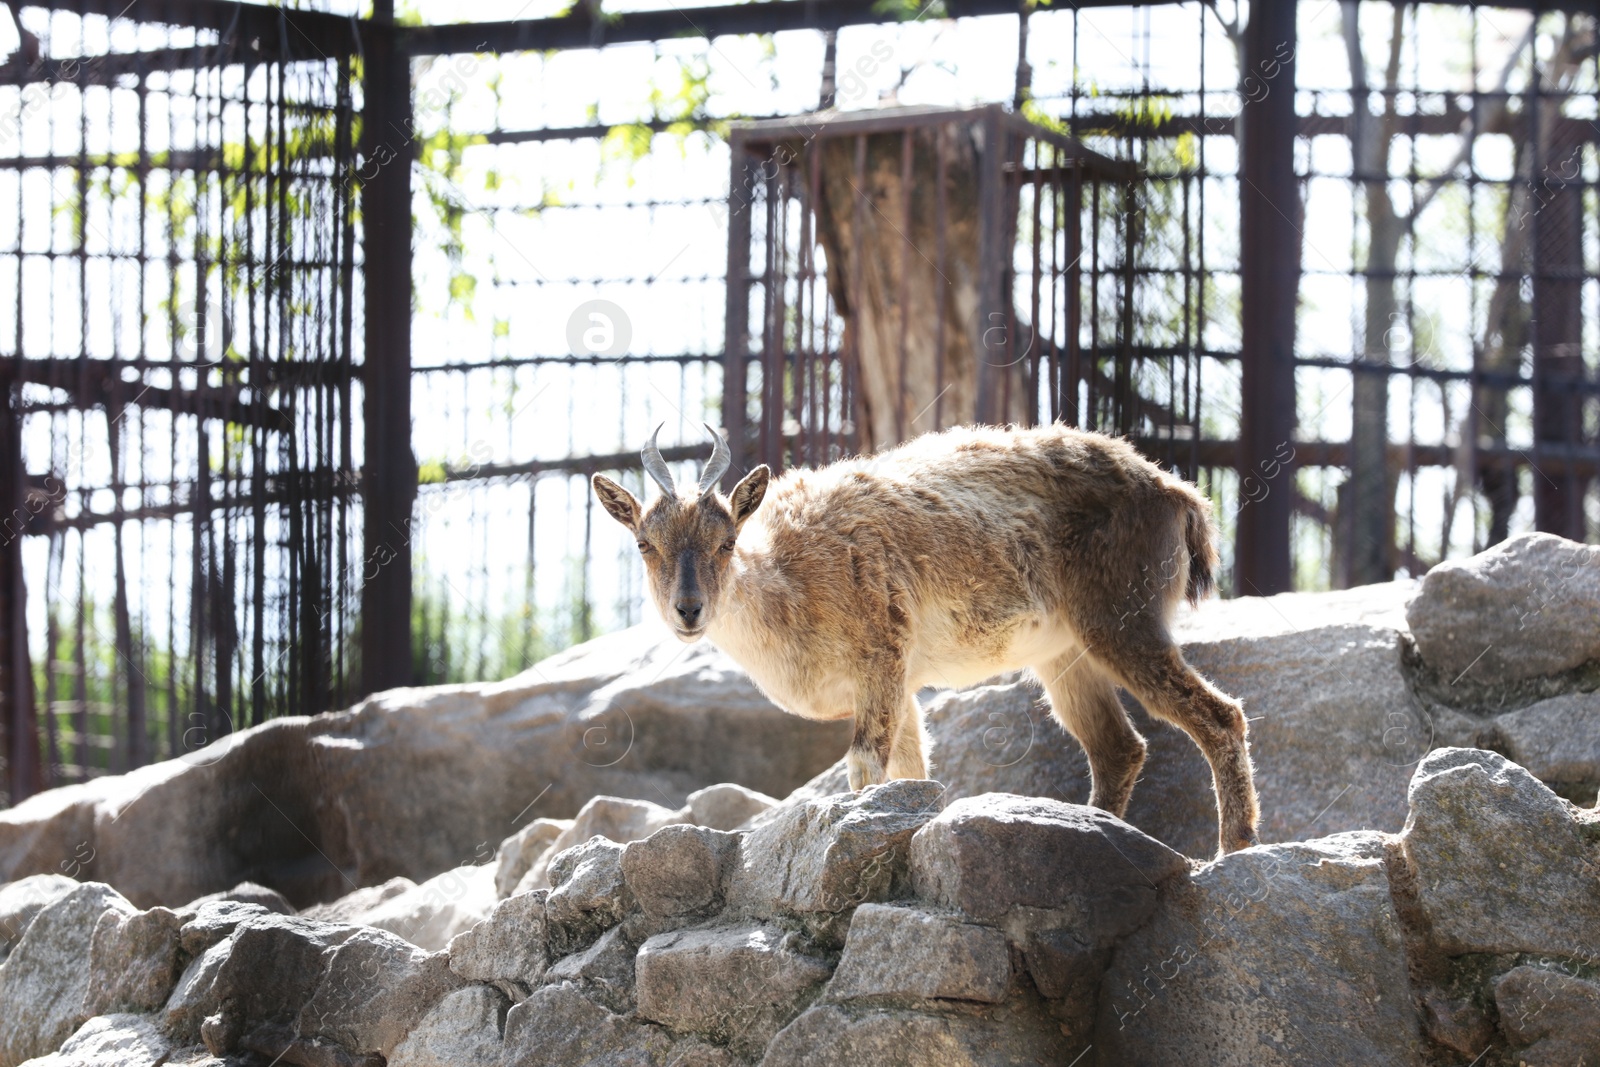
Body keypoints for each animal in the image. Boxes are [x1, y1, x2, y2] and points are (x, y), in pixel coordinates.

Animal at [595, 422, 1254, 857]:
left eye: (727, 540)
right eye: (644, 543)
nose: (688, 610)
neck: (792, 578)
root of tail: (1181, 496)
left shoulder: (882, 655)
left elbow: (866, 767)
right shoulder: (903, 686)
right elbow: (912, 775)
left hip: (1121, 622)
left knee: (1219, 715)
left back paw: (1233, 848)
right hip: (1065, 656)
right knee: (1118, 747)